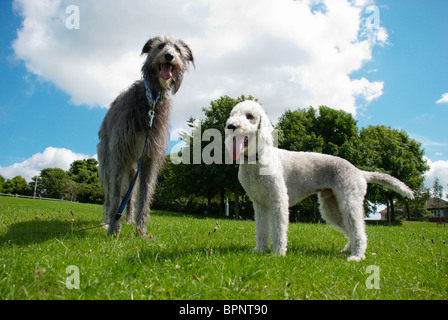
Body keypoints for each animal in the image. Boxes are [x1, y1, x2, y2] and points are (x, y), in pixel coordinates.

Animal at [97, 35, 193, 235]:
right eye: (161, 45)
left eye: (178, 49)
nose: (169, 56)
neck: (152, 101)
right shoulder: (119, 152)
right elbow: (116, 193)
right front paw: (113, 228)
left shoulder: (150, 155)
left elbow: (145, 192)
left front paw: (140, 230)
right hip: (106, 158)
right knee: (109, 192)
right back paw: (107, 221)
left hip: (134, 167)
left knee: (130, 196)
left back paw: (127, 219)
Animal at [226, 101, 414, 262]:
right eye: (232, 115)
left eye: (250, 116)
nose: (231, 126)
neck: (257, 160)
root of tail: (359, 172)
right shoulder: (259, 203)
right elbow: (261, 229)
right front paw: (260, 250)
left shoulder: (278, 199)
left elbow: (279, 229)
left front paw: (278, 253)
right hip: (331, 206)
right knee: (350, 230)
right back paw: (348, 249)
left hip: (349, 201)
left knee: (359, 230)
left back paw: (357, 256)